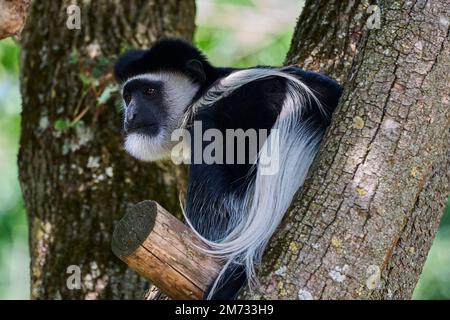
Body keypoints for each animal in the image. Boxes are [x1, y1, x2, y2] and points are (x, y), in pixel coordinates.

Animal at [114, 38, 342, 300]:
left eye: (149, 92)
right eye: (128, 95)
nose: (131, 116)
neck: (202, 93)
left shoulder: (206, 121)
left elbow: (218, 211)